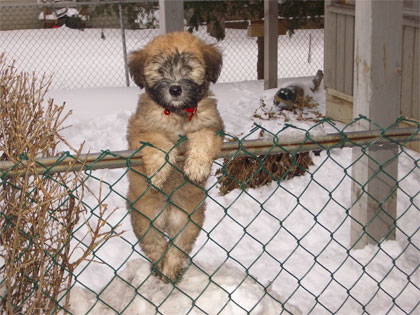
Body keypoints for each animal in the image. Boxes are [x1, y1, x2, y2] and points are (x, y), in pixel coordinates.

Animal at [126, 32, 225, 284]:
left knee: (178, 247)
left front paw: (196, 167)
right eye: (160, 71)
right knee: (155, 245)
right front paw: (159, 173)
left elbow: (203, 137)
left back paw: (170, 268)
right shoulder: (141, 130)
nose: (175, 89)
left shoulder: (214, 127)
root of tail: (168, 212)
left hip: (188, 221)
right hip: (145, 218)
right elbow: (160, 143)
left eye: (189, 68)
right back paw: (161, 267)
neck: (179, 113)